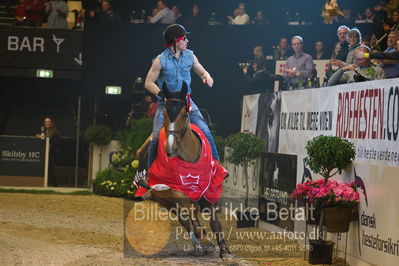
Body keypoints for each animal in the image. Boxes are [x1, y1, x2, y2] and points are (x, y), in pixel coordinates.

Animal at [135, 82, 231, 258]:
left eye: (184, 114)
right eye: (164, 113)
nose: (170, 147)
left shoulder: (210, 189)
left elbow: (215, 221)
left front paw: (224, 249)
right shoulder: (178, 192)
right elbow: (192, 216)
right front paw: (207, 242)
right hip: (165, 200)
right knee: (185, 220)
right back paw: (200, 245)